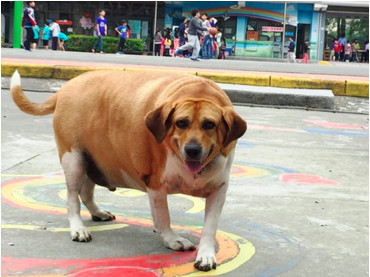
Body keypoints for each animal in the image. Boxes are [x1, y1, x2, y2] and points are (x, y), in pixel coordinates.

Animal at [10, 70, 246, 270]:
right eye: (181, 123)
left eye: (209, 124)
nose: (193, 150)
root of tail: (66, 88)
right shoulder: (156, 185)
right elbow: (163, 217)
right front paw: (171, 239)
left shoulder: (218, 189)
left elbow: (210, 226)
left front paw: (206, 254)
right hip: (74, 160)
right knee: (72, 198)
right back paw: (78, 228)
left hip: (93, 159)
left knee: (86, 192)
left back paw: (97, 212)